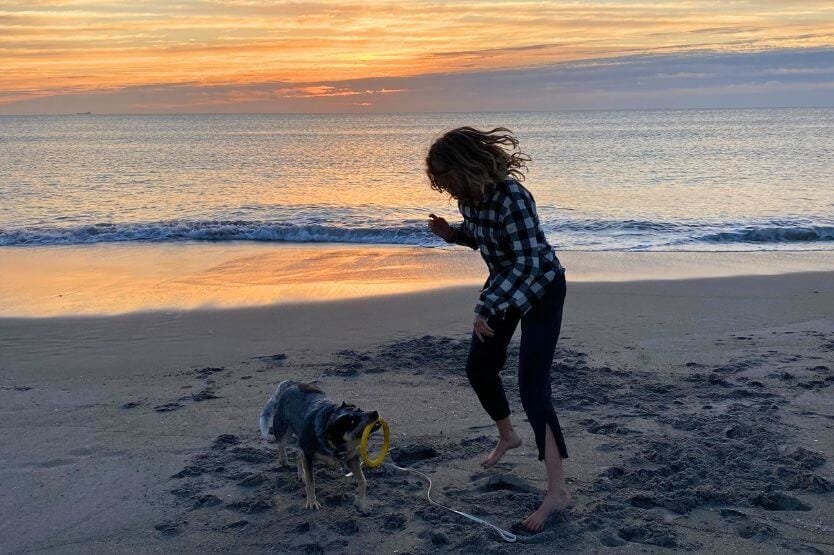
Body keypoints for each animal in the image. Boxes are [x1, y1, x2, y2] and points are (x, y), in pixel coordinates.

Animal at [258, 382, 378, 512]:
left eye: (360, 410)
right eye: (352, 422)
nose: (375, 412)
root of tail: (294, 383)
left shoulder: (352, 458)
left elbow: (363, 481)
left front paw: (360, 503)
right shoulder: (309, 456)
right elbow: (311, 483)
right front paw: (311, 502)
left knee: (298, 455)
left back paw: (301, 474)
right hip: (285, 429)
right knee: (281, 445)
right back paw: (284, 460)